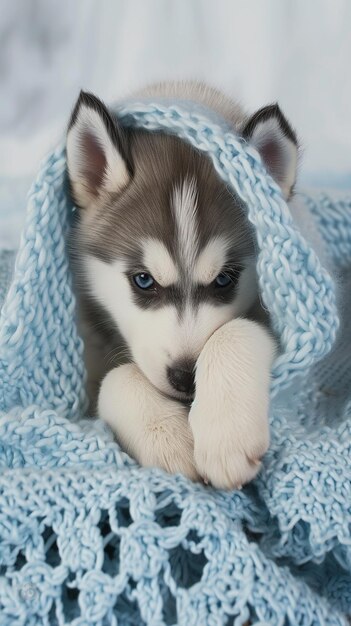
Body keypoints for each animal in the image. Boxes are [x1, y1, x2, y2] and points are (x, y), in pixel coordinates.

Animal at [66, 81, 302, 488]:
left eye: (224, 279)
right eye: (143, 280)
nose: (186, 379)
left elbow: (237, 330)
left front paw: (226, 435)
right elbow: (116, 376)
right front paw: (169, 439)